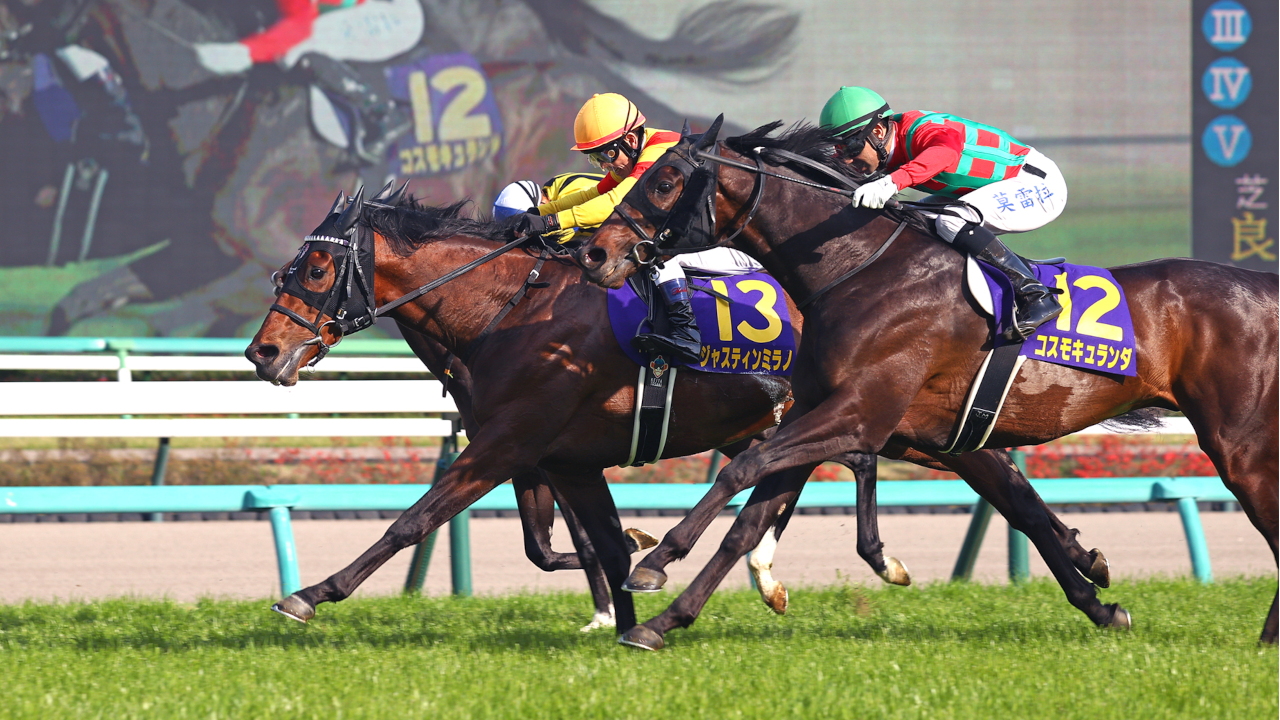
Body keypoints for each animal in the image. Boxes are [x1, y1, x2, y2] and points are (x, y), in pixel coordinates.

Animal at [243, 183, 1108, 634]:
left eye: (314, 267)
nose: (262, 353)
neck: (506, 310)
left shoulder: (509, 442)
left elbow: (414, 521)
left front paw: (310, 593)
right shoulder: (557, 457)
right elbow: (569, 546)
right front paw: (626, 601)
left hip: (881, 412)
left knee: (962, 475)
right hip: (910, 420)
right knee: (995, 477)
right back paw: (1087, 577)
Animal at [575, 117, 1279, 649]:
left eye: (665, 180)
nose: (594, 253)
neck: (859, 268)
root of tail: (1263, 285)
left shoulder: (861, 414)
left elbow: (740, 471)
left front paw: (654, 564)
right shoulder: (837, 415)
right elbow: (752, 520)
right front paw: (664, 621)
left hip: (1239, 443)